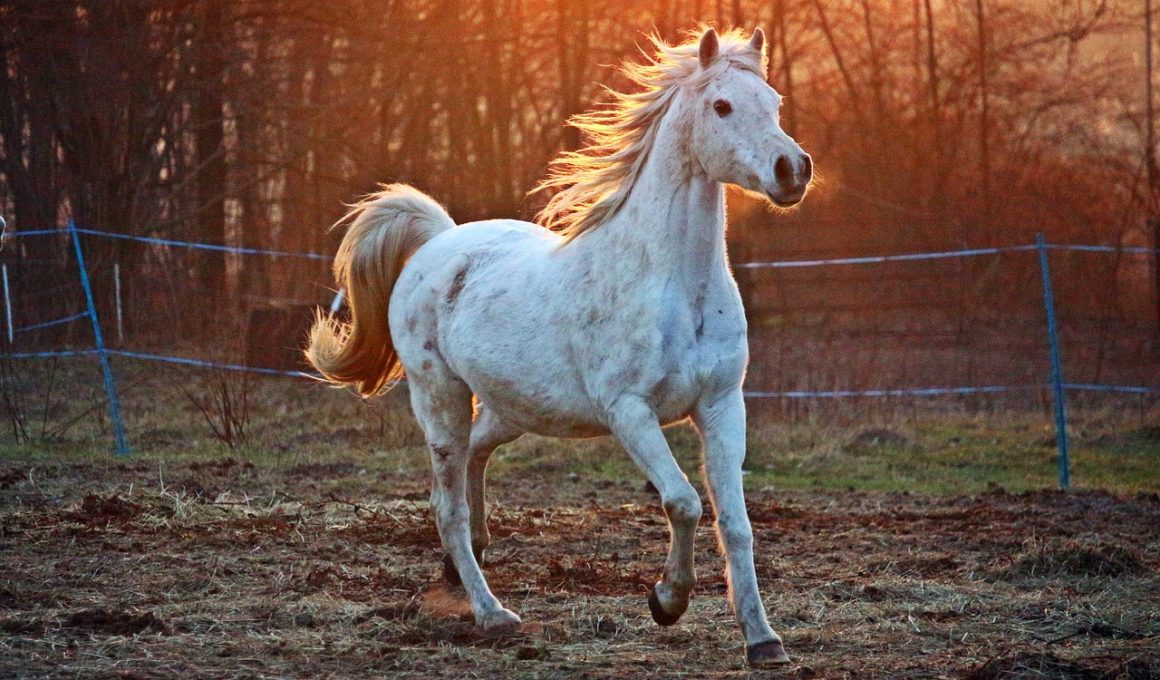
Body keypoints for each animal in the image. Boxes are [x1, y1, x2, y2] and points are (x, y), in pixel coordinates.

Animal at [310, 29, 816, 663]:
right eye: (721, 106)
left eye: (773, 102)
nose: (792, 169)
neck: (676, 286)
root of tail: (437, 242)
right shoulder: (630, 412)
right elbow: (684, 502)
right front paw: (666, 601)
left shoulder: (722, 405)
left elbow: (736, 523)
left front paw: (763, 639)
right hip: (440, 399)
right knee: (447, 505)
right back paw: (492, 613)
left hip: (514, 407)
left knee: (475, 457)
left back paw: (464, 565)